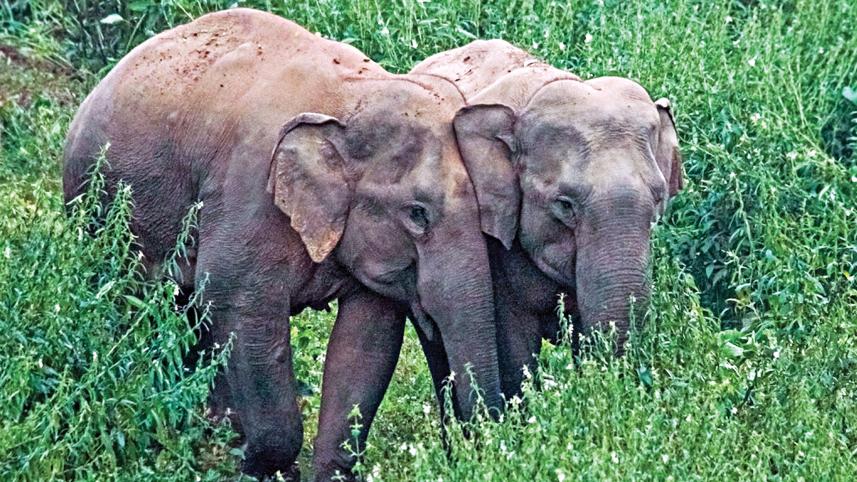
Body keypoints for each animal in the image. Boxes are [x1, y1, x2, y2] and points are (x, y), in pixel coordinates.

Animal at [63, 10, 503, 479]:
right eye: (418, 214)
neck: (353, 97)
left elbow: (367, 339)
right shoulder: (248, 195)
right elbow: (237, 303)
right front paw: (262, 467)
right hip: (96, 212)